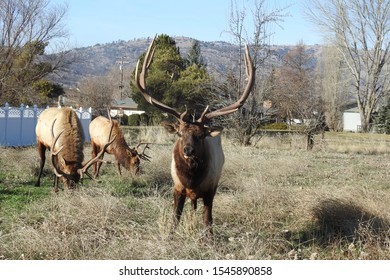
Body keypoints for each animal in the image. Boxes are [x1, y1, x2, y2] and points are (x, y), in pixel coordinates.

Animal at [134, 35, 256, 236]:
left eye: (201, 135)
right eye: (179, 133)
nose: (188, 150)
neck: (192, 181)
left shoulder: (211, 189)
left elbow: (208, 221)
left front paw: (209, 239)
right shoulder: (177, 187)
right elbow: (175, 218)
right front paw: (171, 235)